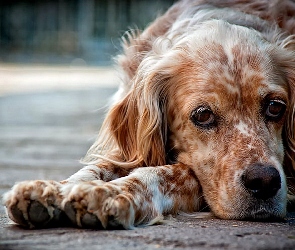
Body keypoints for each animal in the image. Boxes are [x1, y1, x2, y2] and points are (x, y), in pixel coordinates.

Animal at [2, 0, 295, 229]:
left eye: (275, 107)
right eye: (202, 115)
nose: (265, 182)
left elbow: (168, 173)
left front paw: (110, 193)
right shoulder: (131, 148)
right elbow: (96, 167)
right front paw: (52, 189)